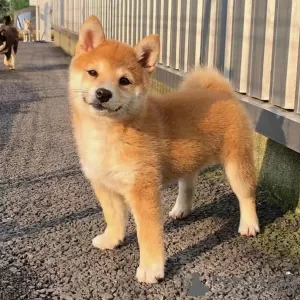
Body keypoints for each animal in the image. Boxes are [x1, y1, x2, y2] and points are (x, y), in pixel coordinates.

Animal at [69, 15, 258, 284]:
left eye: (124, 81)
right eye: (92, 72)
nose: (103, 93)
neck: (106, 133)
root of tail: (222, 91)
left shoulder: (142, 190)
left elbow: (148, 236)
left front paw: (151, 269)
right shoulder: (105, 185)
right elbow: (113, 218)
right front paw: (112, 239)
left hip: (237, 162)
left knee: (246, 194)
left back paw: (249, 224)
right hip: (189, 160)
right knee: (188, 186)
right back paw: (181, 209)